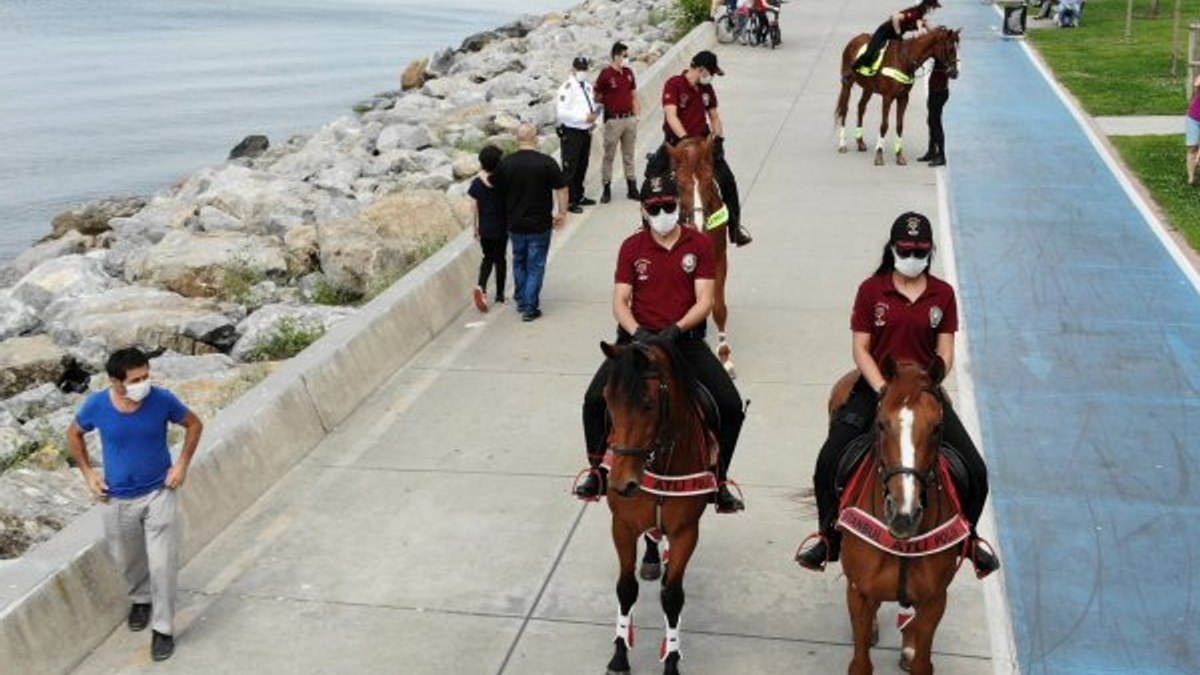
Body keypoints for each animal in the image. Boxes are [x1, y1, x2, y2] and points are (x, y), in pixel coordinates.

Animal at [597, 338, 710, 672]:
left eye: (647, 403)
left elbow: (672, 596)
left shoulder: (686, 531)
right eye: (607, 399)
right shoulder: (621, 525)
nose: (621, 484)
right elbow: (625, 588)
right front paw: (619, 656)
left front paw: (671, 661)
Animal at [662, 135, 734, 379]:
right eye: (680, 184)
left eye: (707, 181)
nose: (700, 225)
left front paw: (725, 357)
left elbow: (718, 307)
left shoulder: (719, 259)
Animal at [830, 355, 969, 667]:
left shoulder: (935, 599)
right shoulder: (859, 593)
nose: (903, 515)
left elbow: (922, 662)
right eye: (881, 425)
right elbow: (860, 663)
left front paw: (912, 650)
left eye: (936, 428)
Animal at [840, 28, 960, 165]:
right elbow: (884, 125)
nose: (955, 72)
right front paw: (879, 154)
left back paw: (860, 142)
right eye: (950, 49)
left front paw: (899, 155)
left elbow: (899, 126)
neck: (903, 60)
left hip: (868, 88)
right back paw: (842, 144)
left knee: (861, 107)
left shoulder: (903, 98)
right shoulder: (887, 98)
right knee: (844, 110)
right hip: (847, 84)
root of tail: (853, 41)